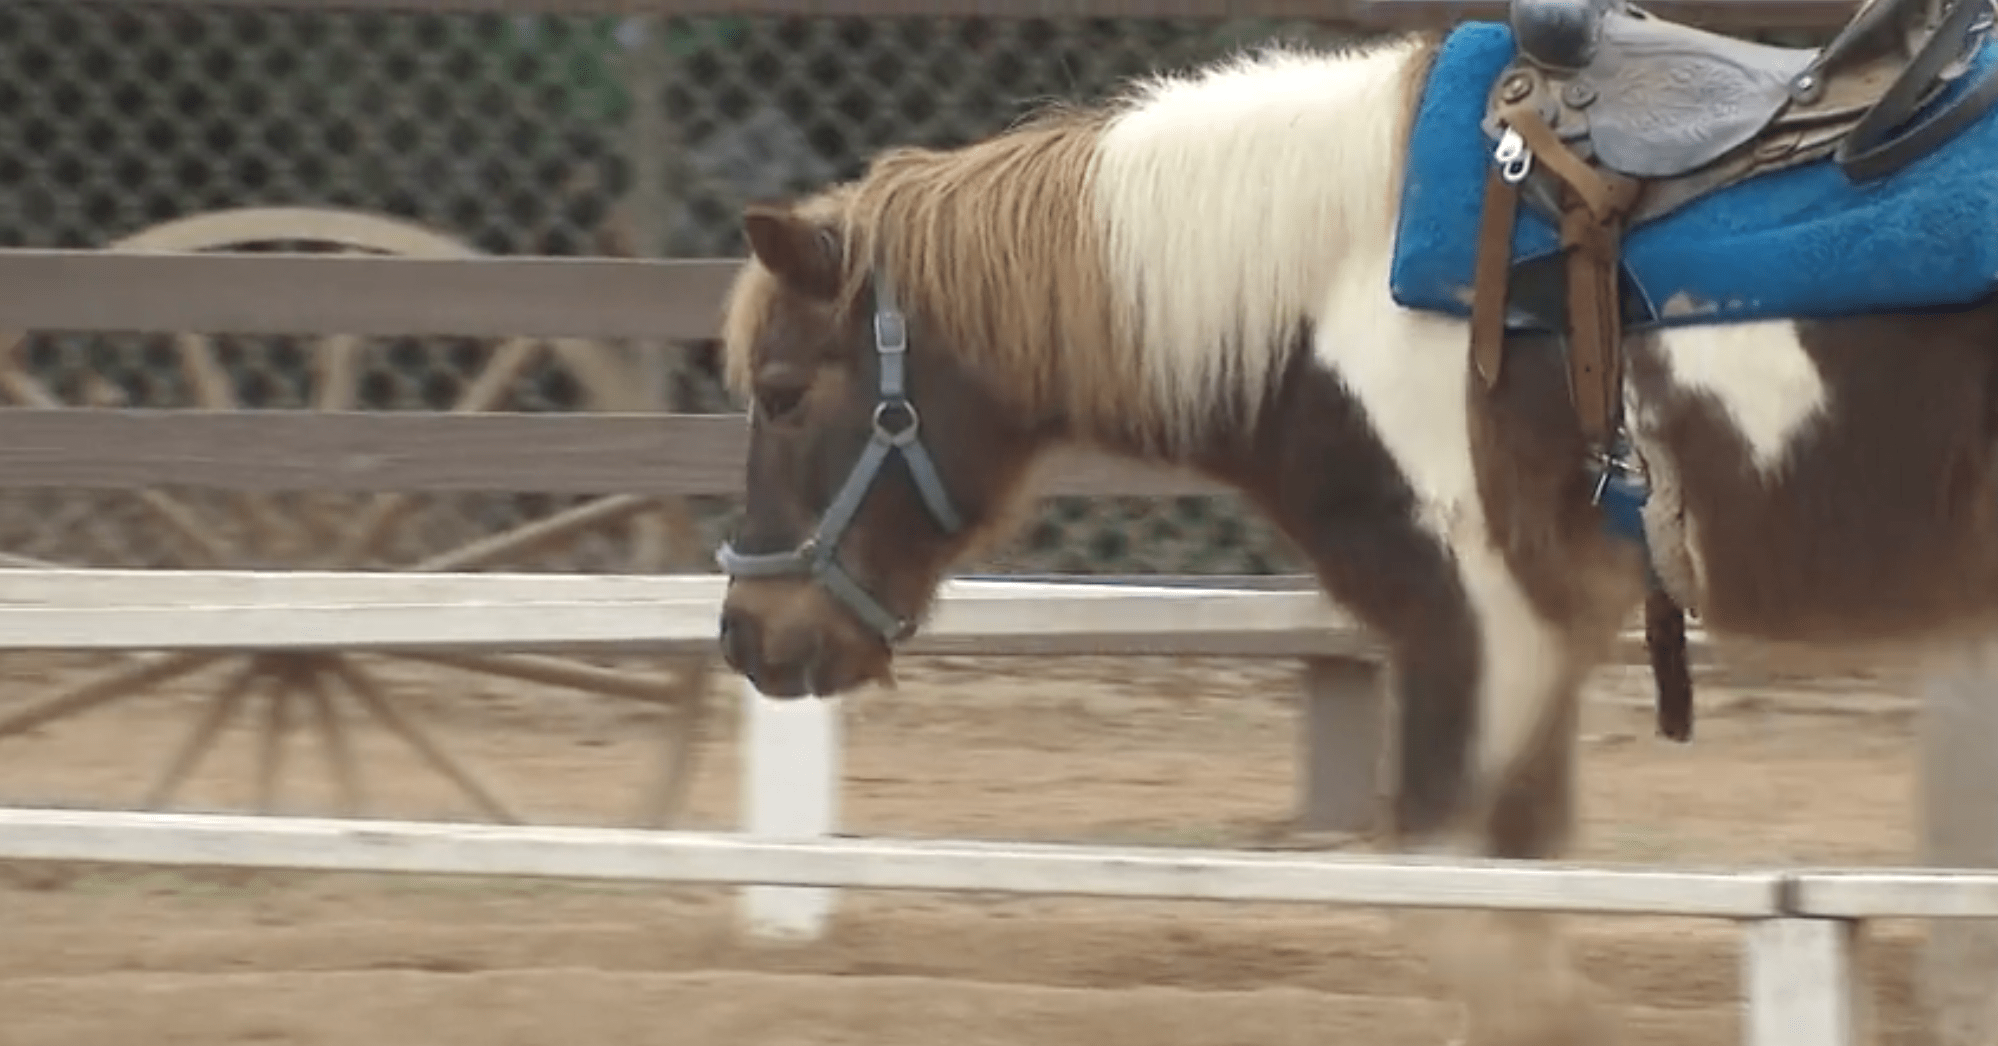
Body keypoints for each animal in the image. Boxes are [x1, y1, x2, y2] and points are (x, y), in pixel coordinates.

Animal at [719, 28, 1998, 1038]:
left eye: (780, 392)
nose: (749, 636)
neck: (1336, 283)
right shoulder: (1536, 647)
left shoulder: (1485, 624)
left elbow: (1463, 916)